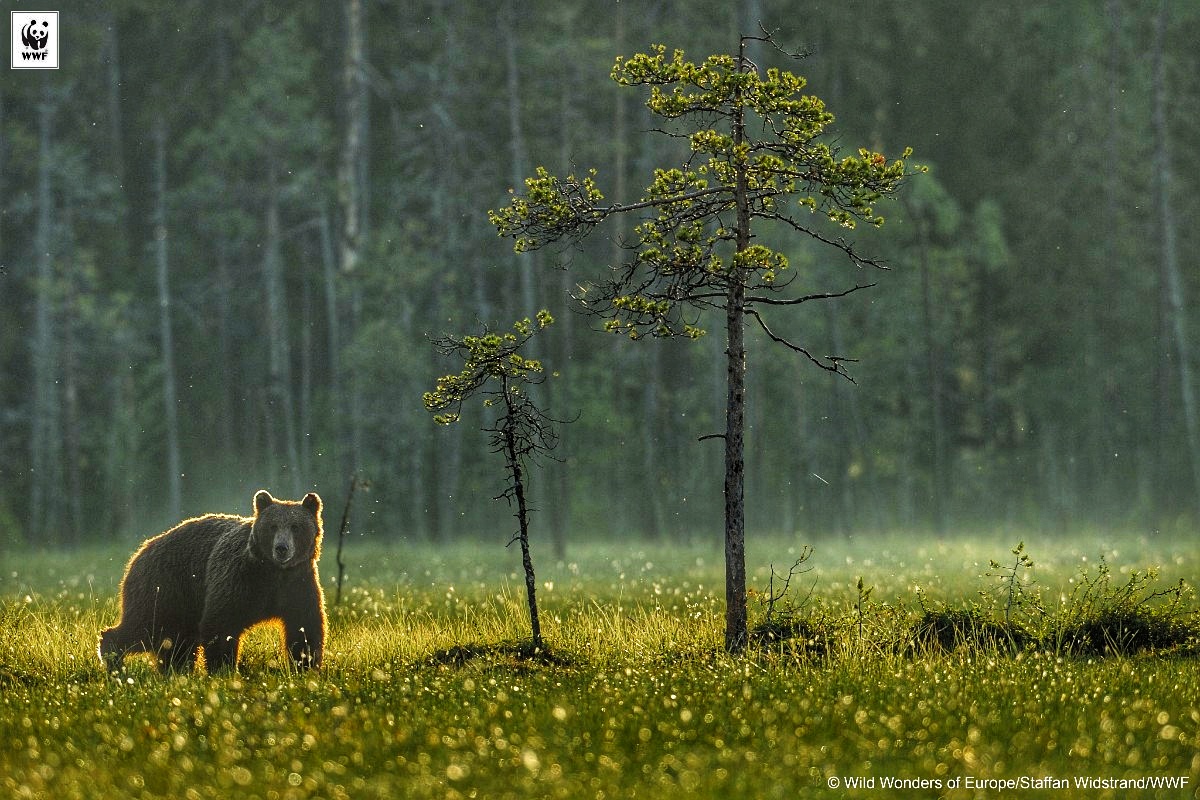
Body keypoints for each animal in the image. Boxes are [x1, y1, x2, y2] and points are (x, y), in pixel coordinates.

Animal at [98, 491, 326, 671]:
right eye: (273, 526)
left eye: (295, 527)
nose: (281, 548)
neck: (273, 572)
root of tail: (139, 552)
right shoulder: (239, 581)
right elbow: (221, 625)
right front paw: (224, 669)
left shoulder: (297, 584)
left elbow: (305, 628)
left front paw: (305, 666)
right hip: (164, 589)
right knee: (144, 627)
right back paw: (114, 661)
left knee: (175, 644)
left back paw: (174, 672)